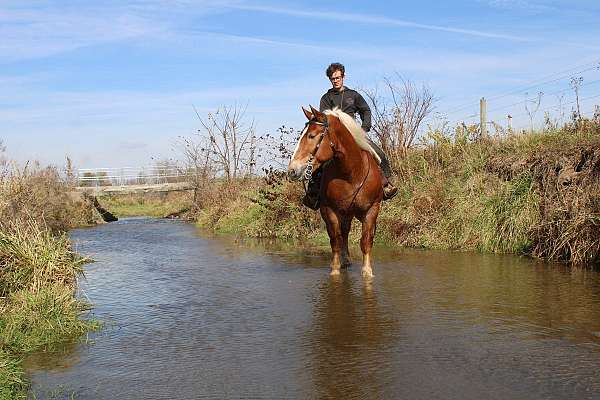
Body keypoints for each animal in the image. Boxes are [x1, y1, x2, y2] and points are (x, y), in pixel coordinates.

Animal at [288, 104, 382, 276]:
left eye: (311, 135)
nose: (292, 170)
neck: (351, 174)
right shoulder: (328, 210)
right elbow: (335, 241)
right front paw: (335, 269)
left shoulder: (372, 209)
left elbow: (366, 240)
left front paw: (367, 271)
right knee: (343, 234)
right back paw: (345, 260)